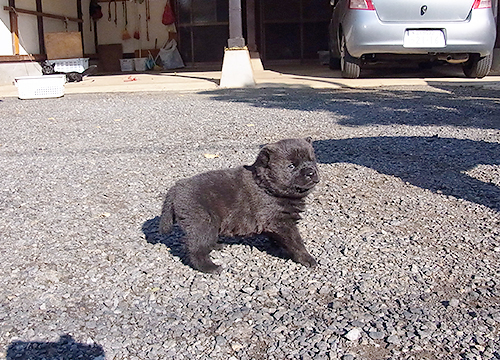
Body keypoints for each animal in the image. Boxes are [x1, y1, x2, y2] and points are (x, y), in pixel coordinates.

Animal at [160, 138, 320, 272]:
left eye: (312, 161)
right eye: (291, 166)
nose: (311, 172)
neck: (267, 187)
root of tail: (175, 188)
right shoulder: (282, 222)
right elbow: (296, 242)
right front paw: (307, 258)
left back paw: (217, 246)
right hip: (202, 223)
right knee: (196, 248)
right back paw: (210, 267)